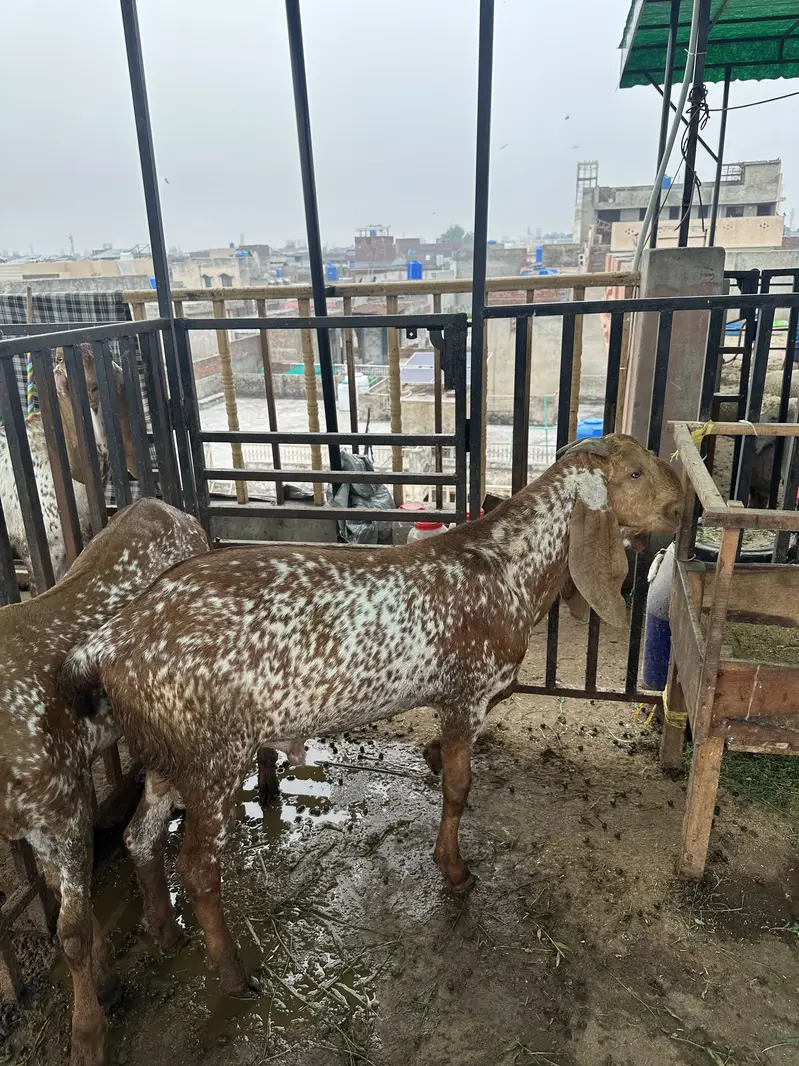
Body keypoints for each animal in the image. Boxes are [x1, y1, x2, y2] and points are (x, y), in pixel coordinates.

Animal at [0, 497, 209, 1066]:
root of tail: (167, 508)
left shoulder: (65, 800)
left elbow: (68, 929)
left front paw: (87, 1036)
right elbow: (60, 890)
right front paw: (108, 980)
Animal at [58, 434, 683, 1001]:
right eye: (633, 473)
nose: (679, 510)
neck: (507, 565)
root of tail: (108, 643)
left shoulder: (466, 695)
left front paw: (431, 764)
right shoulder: (469, 693)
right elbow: (459, 787)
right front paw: (454, 871)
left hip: (164, 752)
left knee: (140, 835)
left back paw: (166, 933)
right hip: (214, 758)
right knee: (197, 868)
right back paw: (234, 976)